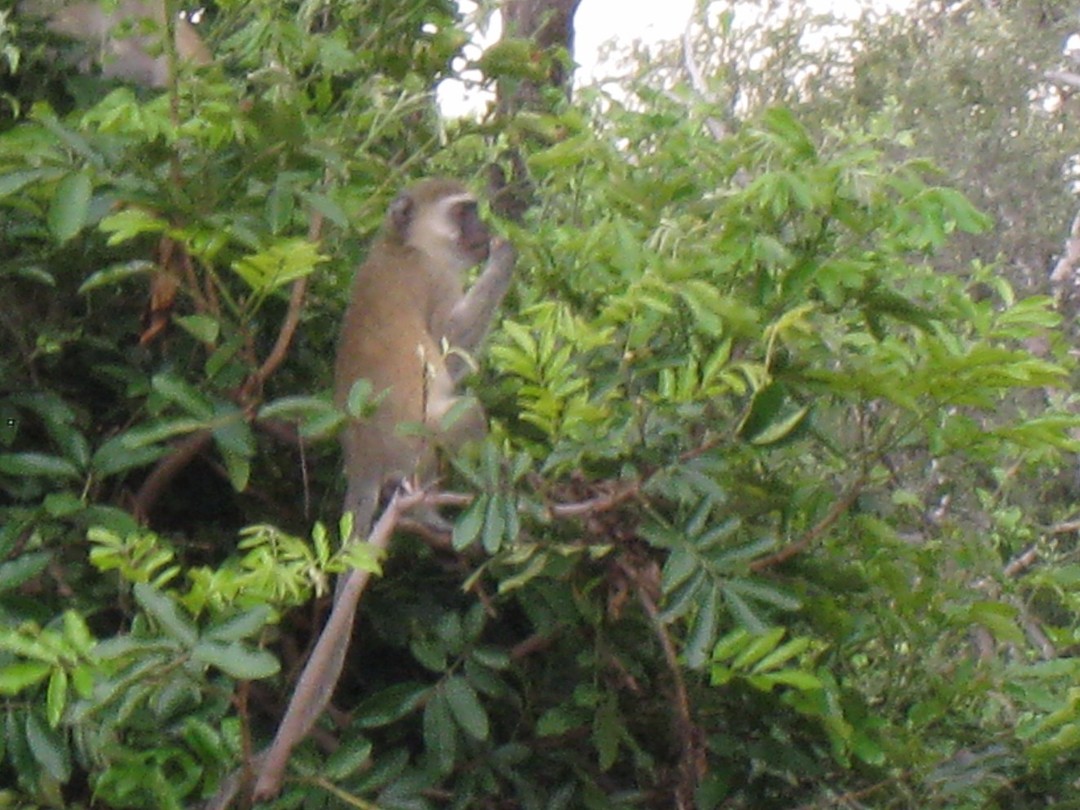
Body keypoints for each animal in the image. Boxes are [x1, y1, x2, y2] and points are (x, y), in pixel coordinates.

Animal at [334, 177, 516, 539]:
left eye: (473, 209)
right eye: (462, 211)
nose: (482, 228)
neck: (405, 245)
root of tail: (362, 458)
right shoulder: (437, 277)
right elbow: (452, 349)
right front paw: (505, 257)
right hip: (412, 447)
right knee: (465, 413)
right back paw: (426, 513)